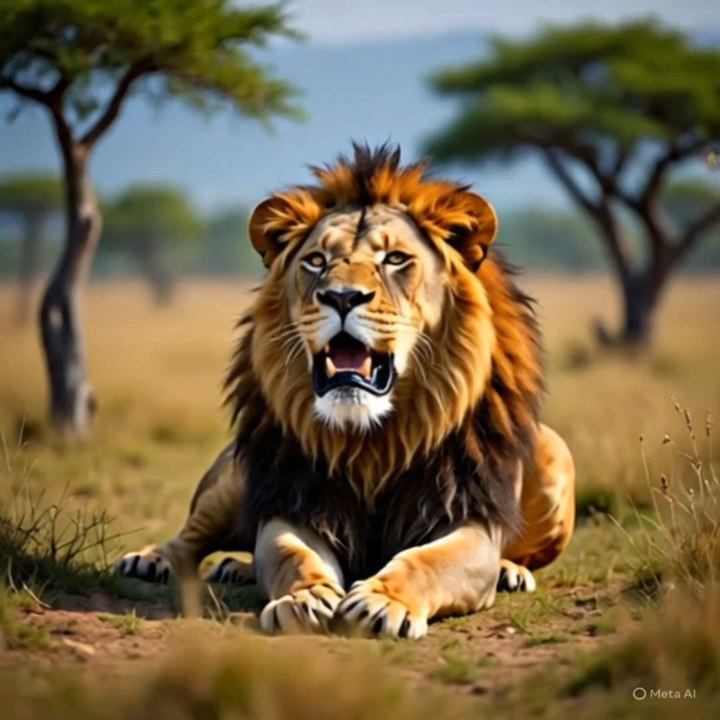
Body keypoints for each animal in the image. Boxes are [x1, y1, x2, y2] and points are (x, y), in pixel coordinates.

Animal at [116, 144, 575, 638]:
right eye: (317, 261)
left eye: (395, 259)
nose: (340, 297)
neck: (373, 440)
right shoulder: (294, 501)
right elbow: (291, 554)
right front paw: (303, 598)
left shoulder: (469, 517)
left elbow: (424, 561)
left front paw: (382, 602)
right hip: (233, 479)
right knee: (195, 537)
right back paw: (156, 561)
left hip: (554, 456)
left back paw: (512, 571)